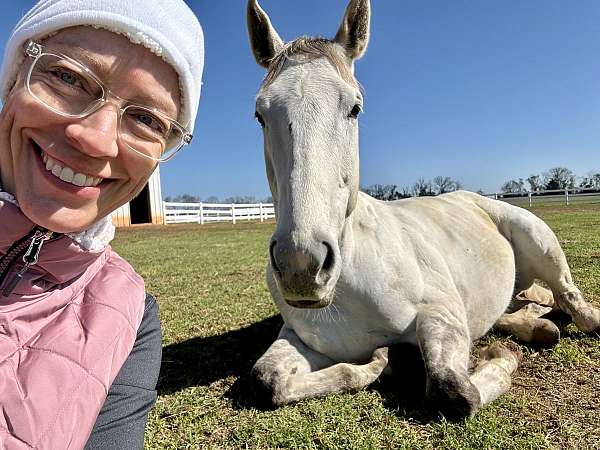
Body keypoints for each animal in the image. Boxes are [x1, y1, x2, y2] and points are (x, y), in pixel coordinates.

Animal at [245, 0, 600, 418]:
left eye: (355, 108)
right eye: (260, 114)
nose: (302, 264)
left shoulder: (441, 315)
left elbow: (455, 390)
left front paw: (499, 356)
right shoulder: (302, 339)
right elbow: (268, 380)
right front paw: (380, 362)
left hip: (540, 241)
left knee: (572, 301)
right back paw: (537, 326)